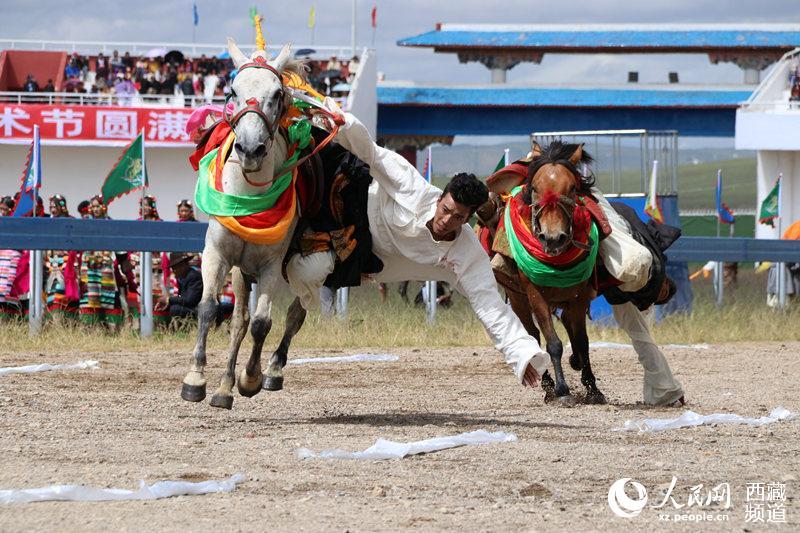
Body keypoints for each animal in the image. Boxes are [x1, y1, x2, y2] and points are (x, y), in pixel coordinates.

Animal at [488, 139, 608, 406]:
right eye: (534, 188)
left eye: (572, 188)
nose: (553, 238)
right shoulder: (534, 295)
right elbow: (553, 343)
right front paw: (562, 390)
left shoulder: (579, 296)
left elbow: (582, 342)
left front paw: (592, 388)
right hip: (518, 298)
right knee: (533, 335)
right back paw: (548, 385)